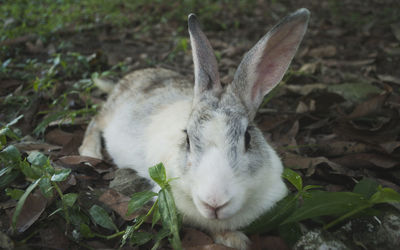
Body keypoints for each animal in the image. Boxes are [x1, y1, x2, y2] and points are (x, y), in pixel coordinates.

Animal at [79, 8, 310, 250]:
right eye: (188, 139)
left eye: (248, 138)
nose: (214, 202)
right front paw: (235, 240)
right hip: (110, 114)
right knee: (94, 121)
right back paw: (90, 153)